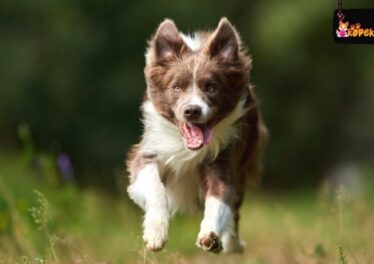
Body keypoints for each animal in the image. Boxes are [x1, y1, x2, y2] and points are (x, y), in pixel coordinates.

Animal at [127, 17, 268, 253]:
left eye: (211, 87)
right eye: (176, 87)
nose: (192, 110)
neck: (187, 147)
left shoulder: (224, 160)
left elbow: (219, 200)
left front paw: (210, 236)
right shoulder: (147, 153)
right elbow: (156, 189)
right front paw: (155, 234)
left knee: (235, 209)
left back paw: (231, 244)